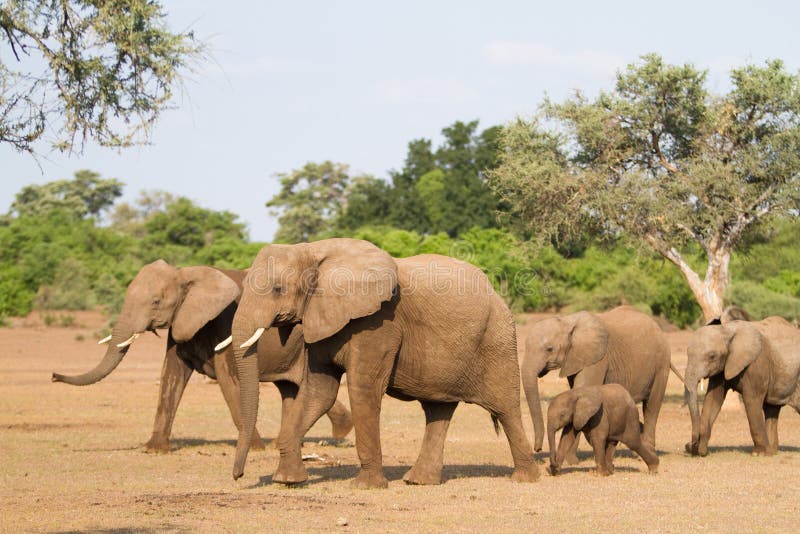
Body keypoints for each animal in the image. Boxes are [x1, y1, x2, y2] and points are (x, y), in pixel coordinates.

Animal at [50, 262, 350, 454]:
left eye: (156, 302)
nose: (53, 375)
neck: (186, 274)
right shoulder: (181, 322)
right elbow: (170, 376)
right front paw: (154, 450)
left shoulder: (223, 323)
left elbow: (230, 383)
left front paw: (254, 449)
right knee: (290, 388)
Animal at [228, 239, 536, 490]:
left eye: (277, 288)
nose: (237, 476)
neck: (314, 250)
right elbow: (319, 392)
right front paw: (287, 481)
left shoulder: (379, 323)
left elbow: (363, 389)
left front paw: (365, 486)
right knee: (438, 411)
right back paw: (418, 482)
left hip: (498, 340)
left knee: (506, 408)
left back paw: (525, 478)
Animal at [520, 306, 672, 456]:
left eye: (549, 349)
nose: (538, 449)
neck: (567, 321)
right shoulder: (575, 359)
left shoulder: (597, 360)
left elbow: (583, 389)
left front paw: (570, 458)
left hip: (662, 363)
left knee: (652, 407)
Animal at [680, 318, 800, 456]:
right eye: (687, 353)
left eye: (712, 356)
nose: (690, 445)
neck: (727, 329)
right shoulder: (722, 367)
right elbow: (712, 399)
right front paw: (701, 451)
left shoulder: (757, 363)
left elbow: (751, 400)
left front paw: (759, 454)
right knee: (772, 409)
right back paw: (772, 452)